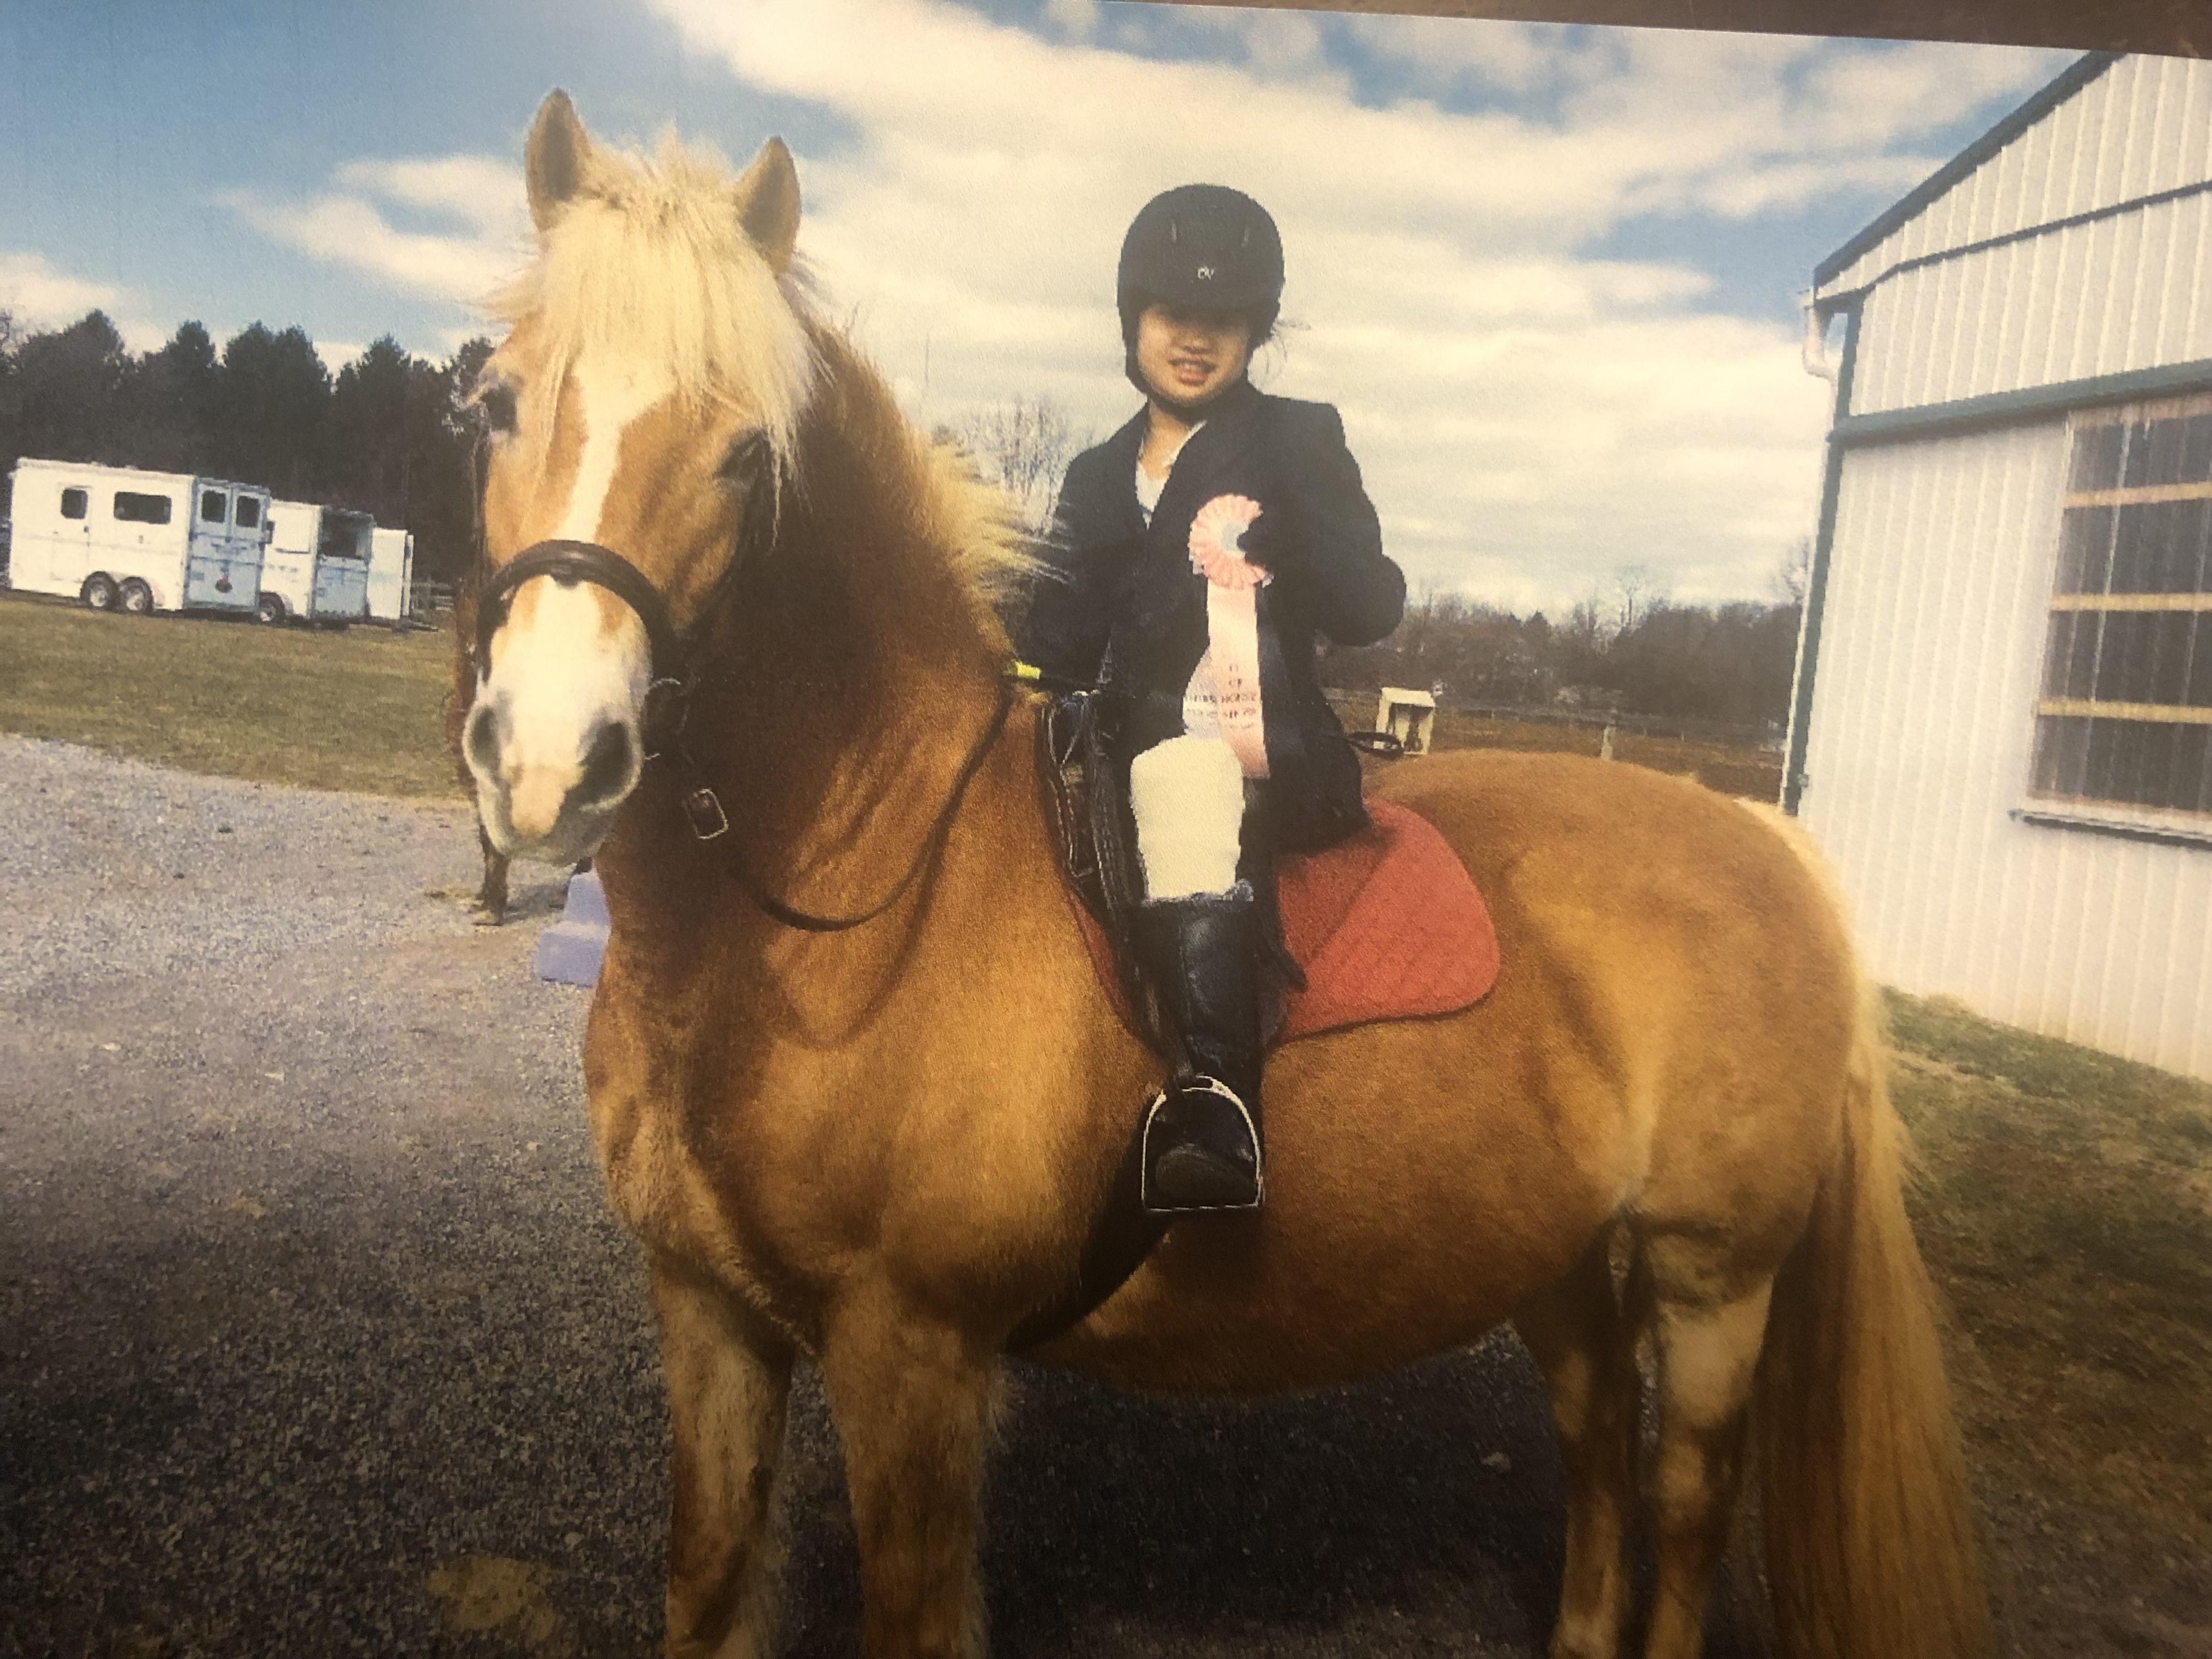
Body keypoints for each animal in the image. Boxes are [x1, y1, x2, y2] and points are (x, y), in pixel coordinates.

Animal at [460, 90, 1993, 1659]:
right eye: (499, 403)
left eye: (745, 455)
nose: (549, 761)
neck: (844, 900)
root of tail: (1768, 840)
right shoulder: (707, 1313)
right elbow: (708, 1582)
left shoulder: (915, 1357)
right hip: (1560, 1252)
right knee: (1594, 1448)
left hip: (1713, 1280)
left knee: (1683, 1510)